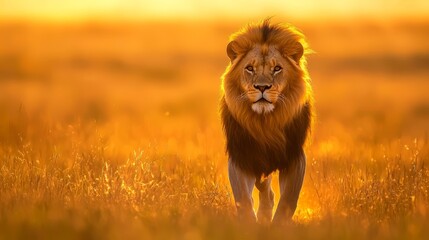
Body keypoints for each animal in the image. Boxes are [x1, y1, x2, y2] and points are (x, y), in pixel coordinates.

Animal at [219, 19, 312, 225]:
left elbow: (288, 200)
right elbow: (243, 199)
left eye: (277, 68)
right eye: (249, 68)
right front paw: (250, 224)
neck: (265, 122)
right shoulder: (242, 156)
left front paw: (278, 226)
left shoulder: (294, 157)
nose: (262, 87)